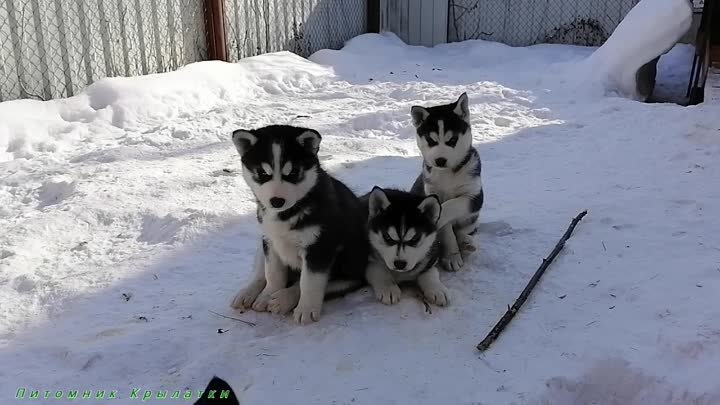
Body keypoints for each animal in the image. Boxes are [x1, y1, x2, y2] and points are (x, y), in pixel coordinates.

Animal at [229, 124, 368, 324]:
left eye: (293, 173)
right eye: (262, 173)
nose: (276, 201)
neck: (287, 214)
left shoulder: (319, 246)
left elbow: (308, 282)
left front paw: (306, 309)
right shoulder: (270, 240)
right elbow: (272, 273)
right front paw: (267, 294)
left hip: (351, 268)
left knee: (315, 283)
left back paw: (283, 300)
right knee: (260, 272)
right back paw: (250, 293)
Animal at [410, 91, 484, 272]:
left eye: (452, 140)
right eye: (431, 141)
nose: (440, 160)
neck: (447, 173)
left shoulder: (474, 196)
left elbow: (452, 205)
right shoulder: (432, 191)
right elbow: (447, 231)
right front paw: (451, 255)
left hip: (473, 218)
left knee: (465, 229)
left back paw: (466, 242)